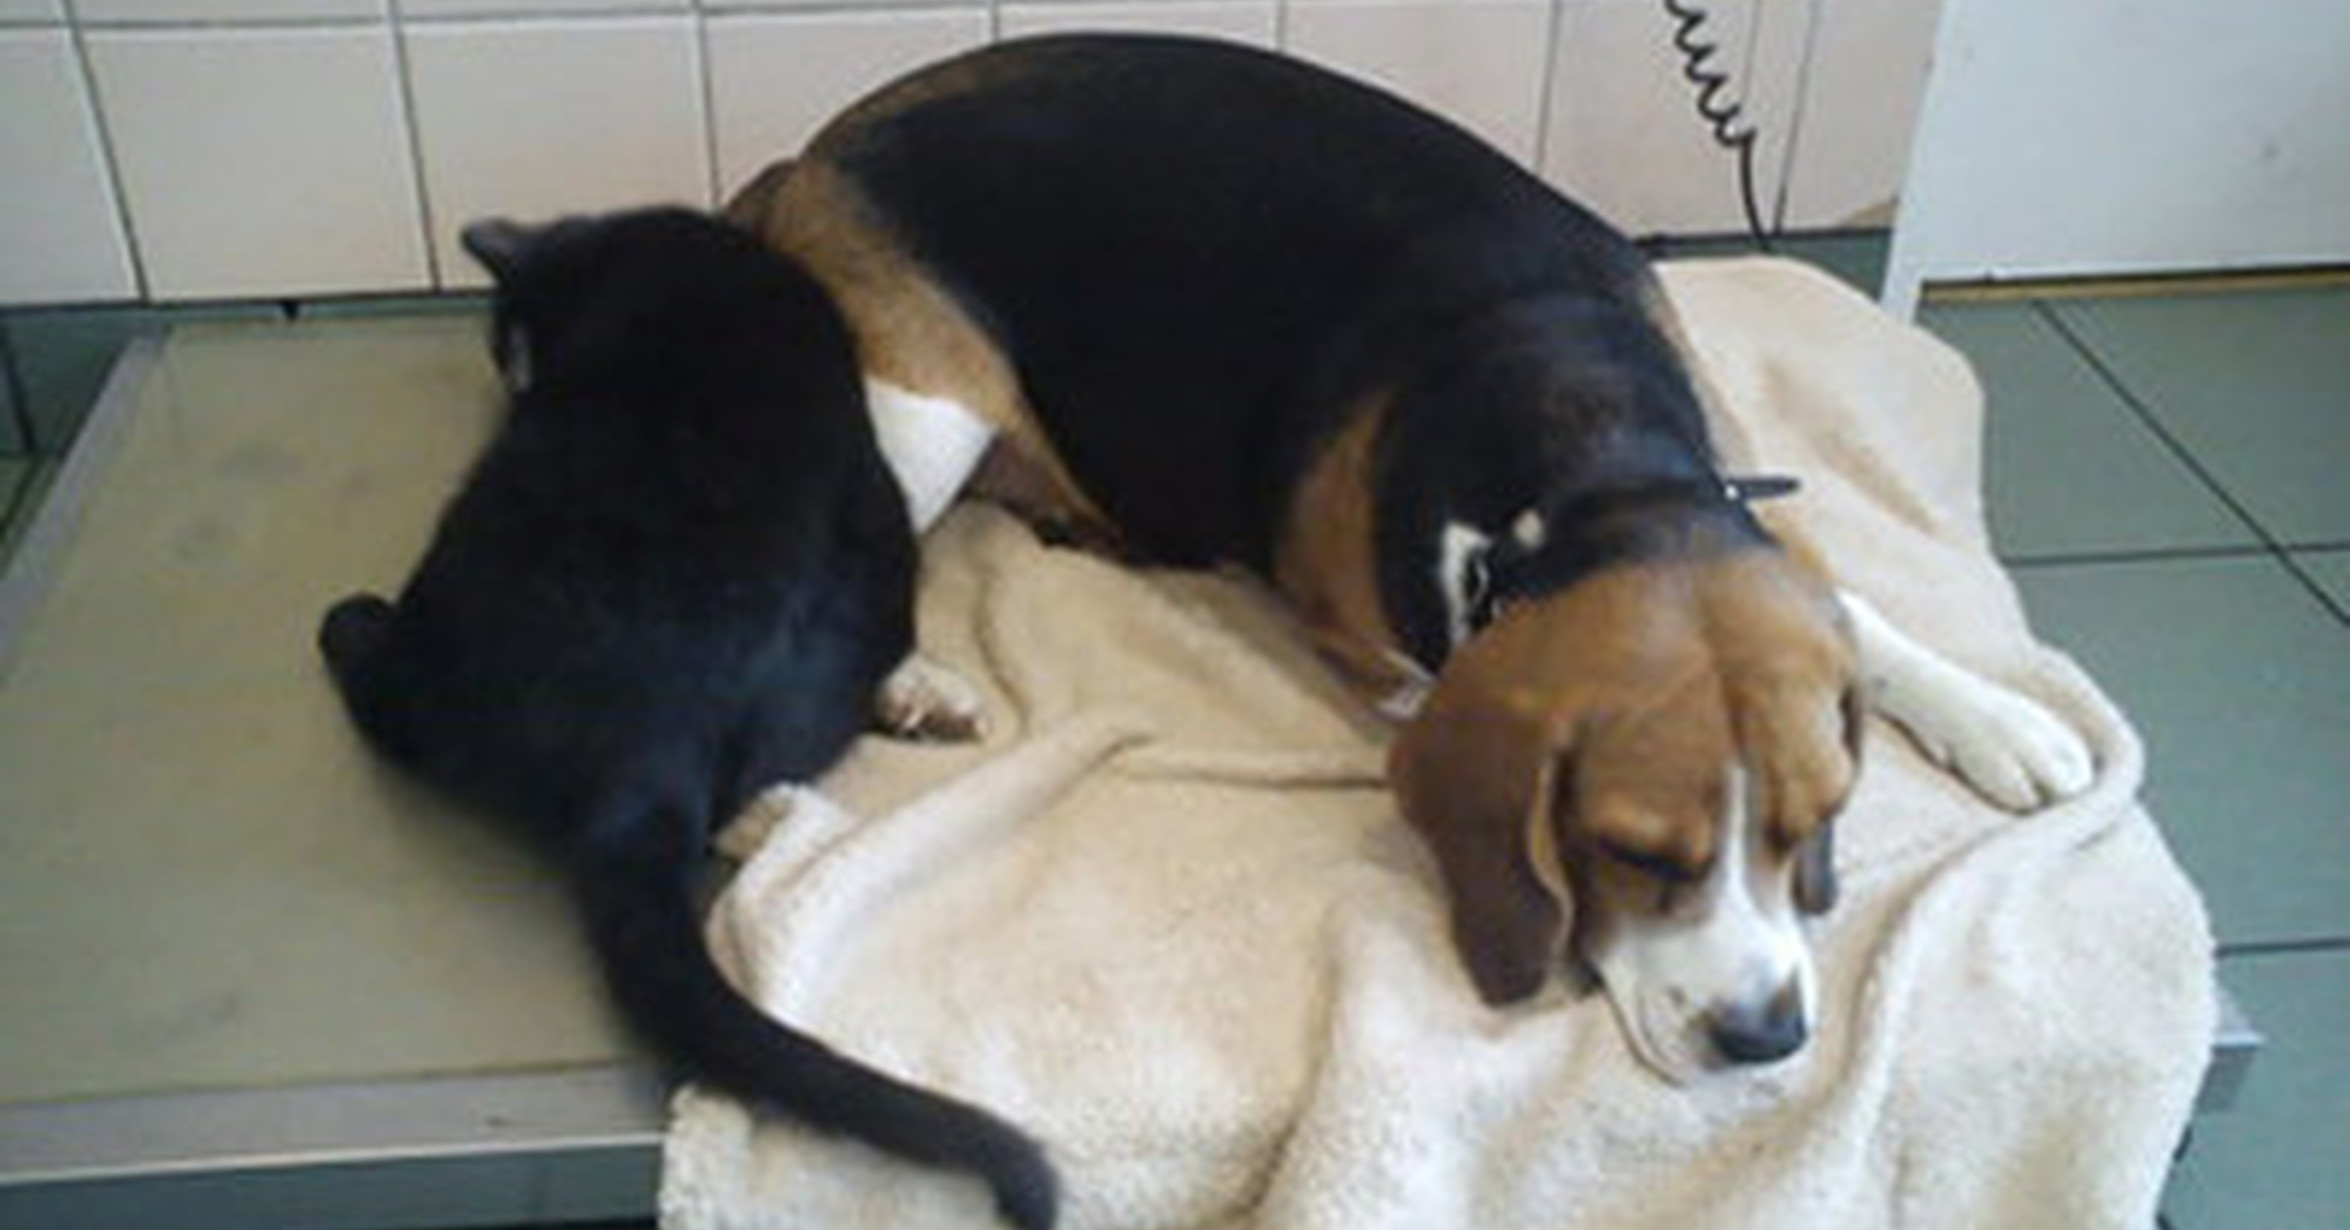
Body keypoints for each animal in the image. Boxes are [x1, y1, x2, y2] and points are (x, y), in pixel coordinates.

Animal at [316, 207, 1055, 1230]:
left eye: (512, 351)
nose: (513, 380)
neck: (630, 250)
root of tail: (649, 750)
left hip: (457, 587)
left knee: (389, 703)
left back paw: (349, 628)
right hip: (881, 555)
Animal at [725, 34, 2096, 1083]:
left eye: (1821, 820)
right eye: (1635, 854)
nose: (1765, 1039)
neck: (1594, 458)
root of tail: (811, 156)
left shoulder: (1737, 477)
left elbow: (1856, 608)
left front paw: (1994, 716)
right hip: (920, 402)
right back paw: (886, 697)